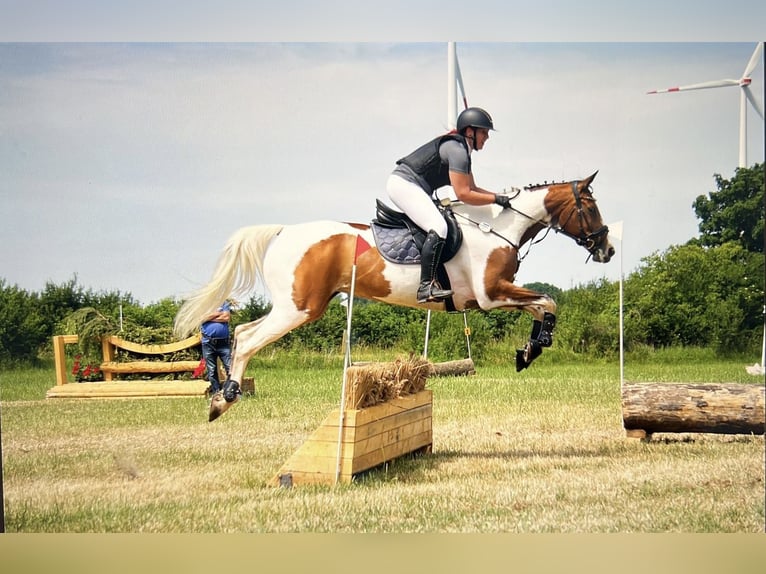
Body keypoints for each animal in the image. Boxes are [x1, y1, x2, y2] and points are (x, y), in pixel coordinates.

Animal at [177, 171, 616, 424]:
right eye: (591, 206)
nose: (607, 249)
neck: (498, 228)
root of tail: (284, 231)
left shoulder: (494, 297)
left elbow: (544, 305)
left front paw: (528, 350)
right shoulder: (491, 296)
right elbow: (548, 301)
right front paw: (534, 348)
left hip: (291, 306)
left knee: (242, 332)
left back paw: (222, 397)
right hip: (298, 308)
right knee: (249, 338)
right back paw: (223, 400)